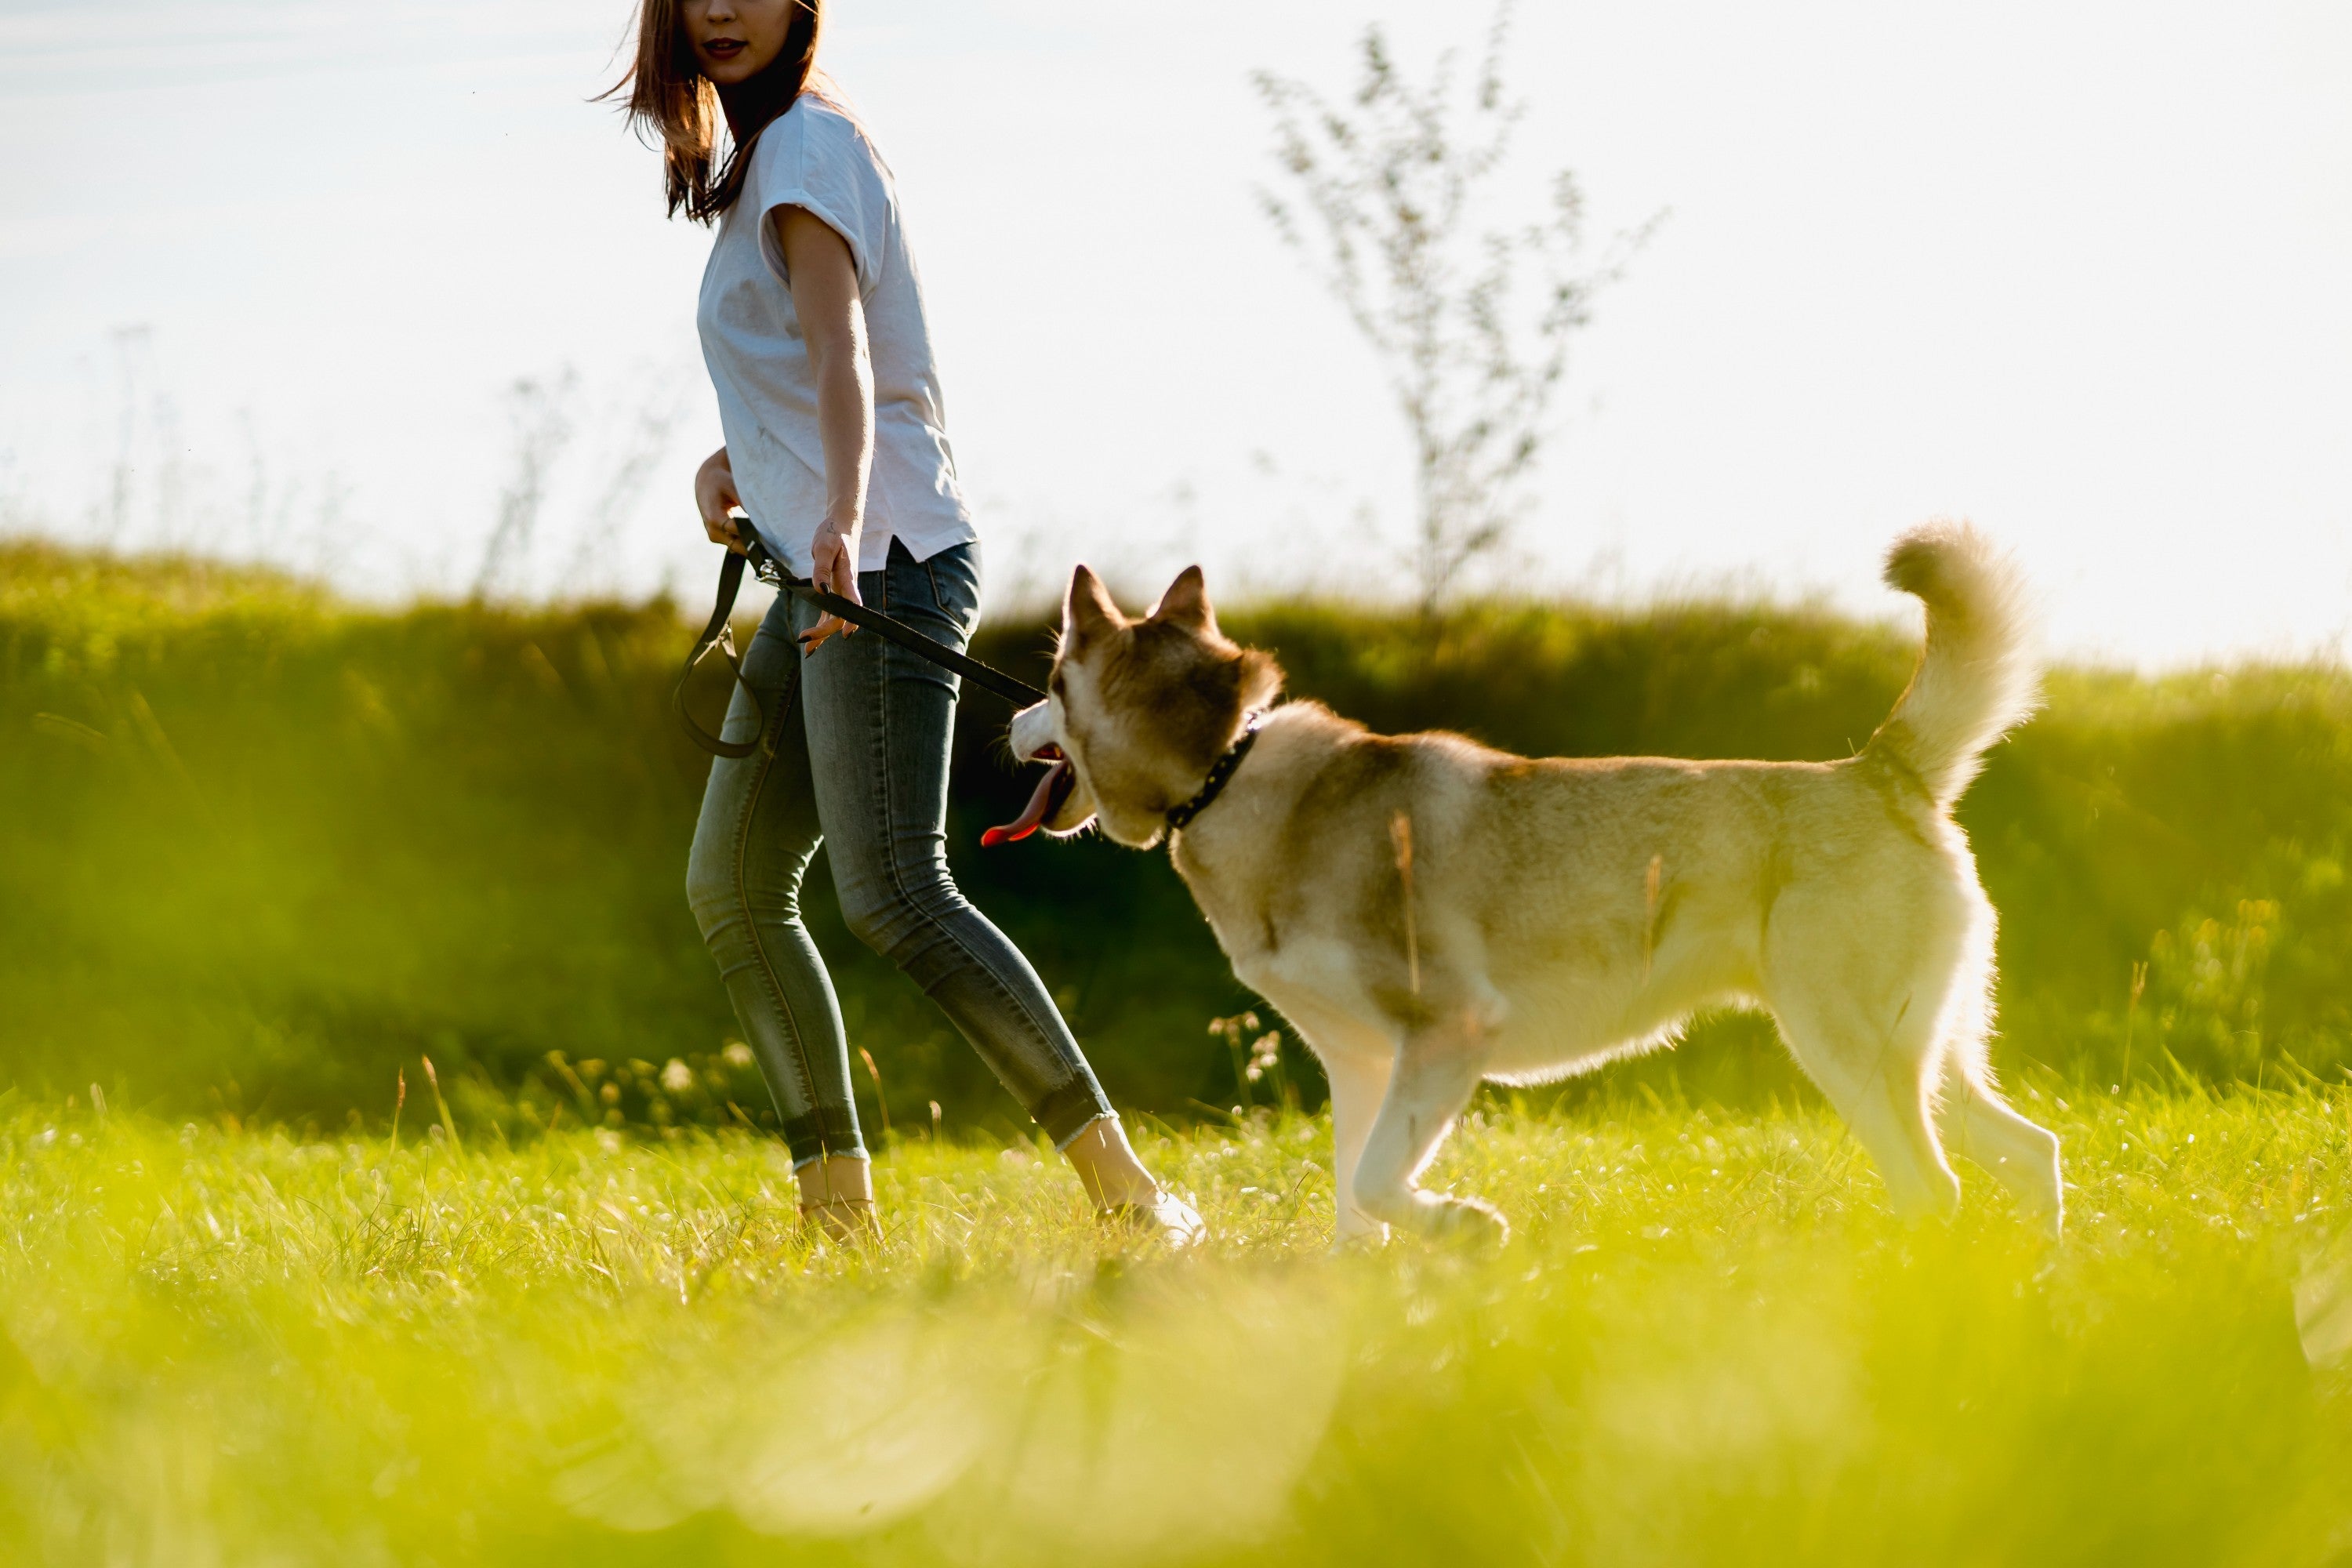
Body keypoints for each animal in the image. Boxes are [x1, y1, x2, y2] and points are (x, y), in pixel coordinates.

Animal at [1002, 526, 2070, 1250]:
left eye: (1051, 682)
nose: (1006, 720)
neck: (1231, 771)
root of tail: (1882, 769)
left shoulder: (1449, 1032)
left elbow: (1384, 1185)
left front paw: (1467, 1228)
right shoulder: (1362, 1064)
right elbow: (1358, 1207)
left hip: (1847, 1050)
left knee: (1936, 1187)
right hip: (1922, 1058)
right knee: (2032, 1154)